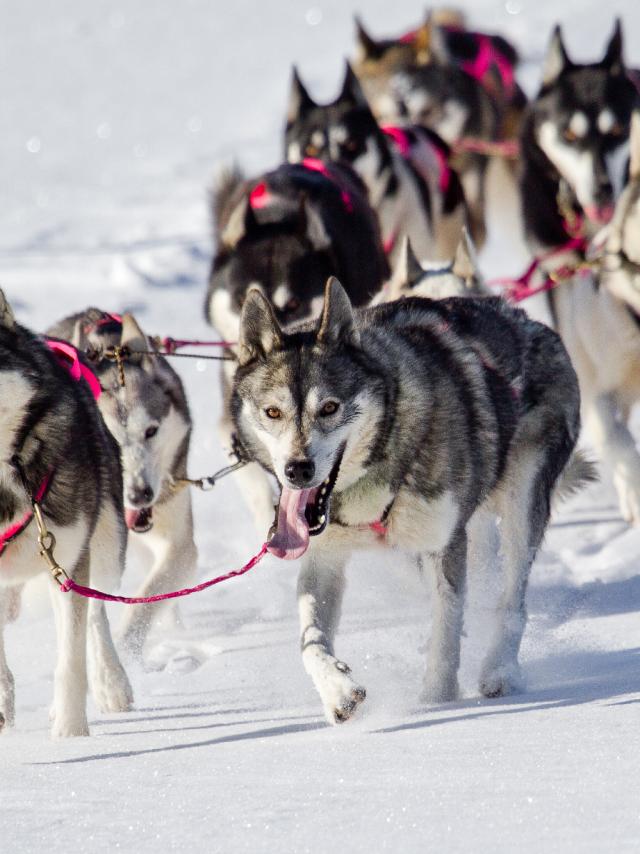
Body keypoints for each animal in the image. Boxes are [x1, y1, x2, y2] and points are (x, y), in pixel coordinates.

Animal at [231, 278, 596, 724]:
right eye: (273, 412)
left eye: (330, 407)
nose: (297, 469)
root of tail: (530, 324)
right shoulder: (325, 558)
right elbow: (310, 641)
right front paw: (337, 692)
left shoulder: (443, 544)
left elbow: (446, 633)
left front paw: (437, 704)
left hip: (521, 502)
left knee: (512, 599)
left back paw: (500, 670)